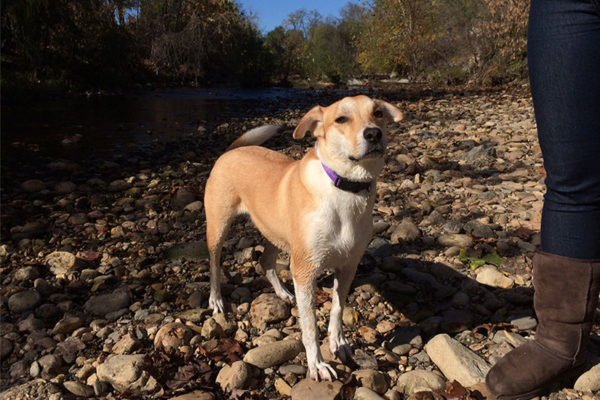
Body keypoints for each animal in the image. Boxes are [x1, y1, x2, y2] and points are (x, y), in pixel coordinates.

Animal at [204, 95, 406, 380]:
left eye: (377, 113)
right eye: (341, 119)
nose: (374, 134)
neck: (344, 189)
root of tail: (231, 151)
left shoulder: (348, 266)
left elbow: (337, 308)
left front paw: (338, 342)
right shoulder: (304, 271)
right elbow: (309, 325)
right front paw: (317, 364)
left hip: (275, 233)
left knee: (265, 262)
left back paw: (283, 293)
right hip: (218, 227)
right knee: (213, 262)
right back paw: (216, 300)